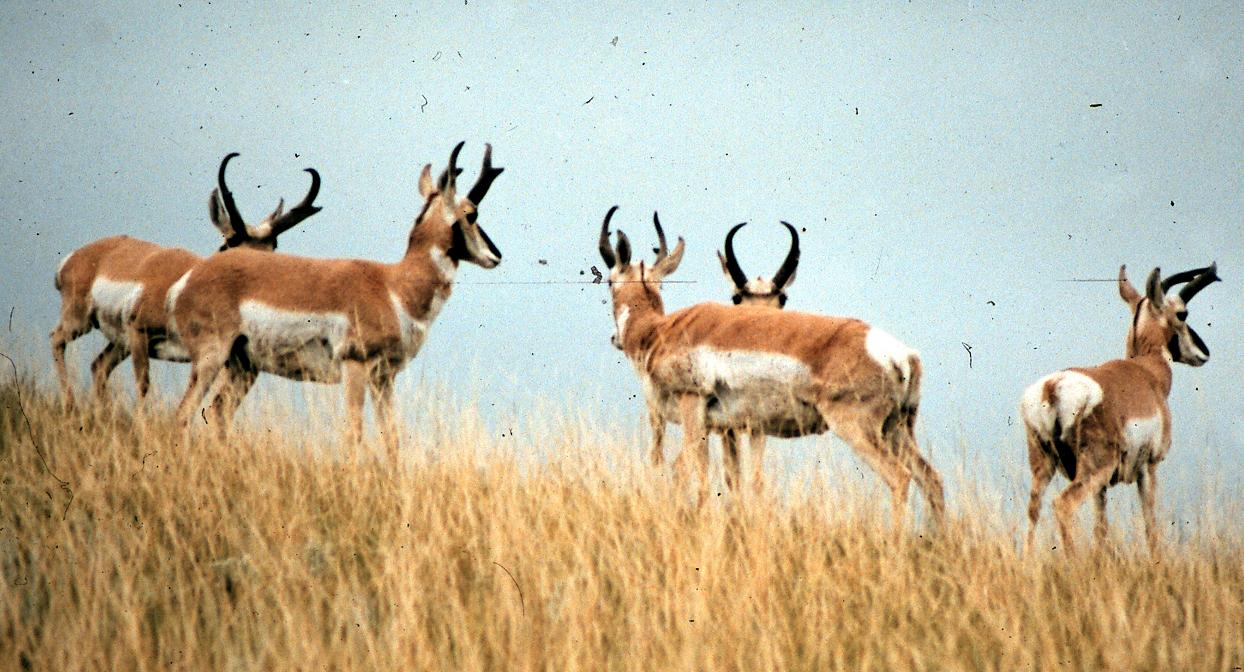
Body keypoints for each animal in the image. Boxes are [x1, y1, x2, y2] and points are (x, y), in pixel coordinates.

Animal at [49, 153, 320, 410]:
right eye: (230, 242)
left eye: (273, 246)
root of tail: (79, 255)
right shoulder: (139, 334)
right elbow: (144, 385)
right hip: (81, 321)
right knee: (57, 340)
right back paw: (71, 406)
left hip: (117, 343)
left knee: (99, 366)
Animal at [170, 141, 505, 457]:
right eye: (472, 213)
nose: (496, 255)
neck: (392, 286)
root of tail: (192, 275)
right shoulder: (355, 366)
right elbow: (353, 433)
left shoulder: (384, 378)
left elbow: (391, 438)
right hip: (212, 357)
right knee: (183, 414)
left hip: (243, 366)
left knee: (217, 412)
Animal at [594, 207, 940, 527]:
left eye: (609, 281)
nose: (614, 338)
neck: (661, 329)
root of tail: (901, 353)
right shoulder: (728, 428)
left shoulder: (694, 409)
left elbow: (691, 474)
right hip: (896, 430)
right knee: (931, 479)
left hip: (857, 428)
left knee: (900, 478)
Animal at [1020, 262, 1224, 550]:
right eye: (1182, 313)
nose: (1203, 353)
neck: (1147, 371)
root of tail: (1053, 386)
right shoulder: (1149, 467)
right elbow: (1150, 522)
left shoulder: (1103, 487)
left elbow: (1101, 530)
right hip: (1094, 468)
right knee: (1063, 505)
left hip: (1043, 467)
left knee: (1032, 513)